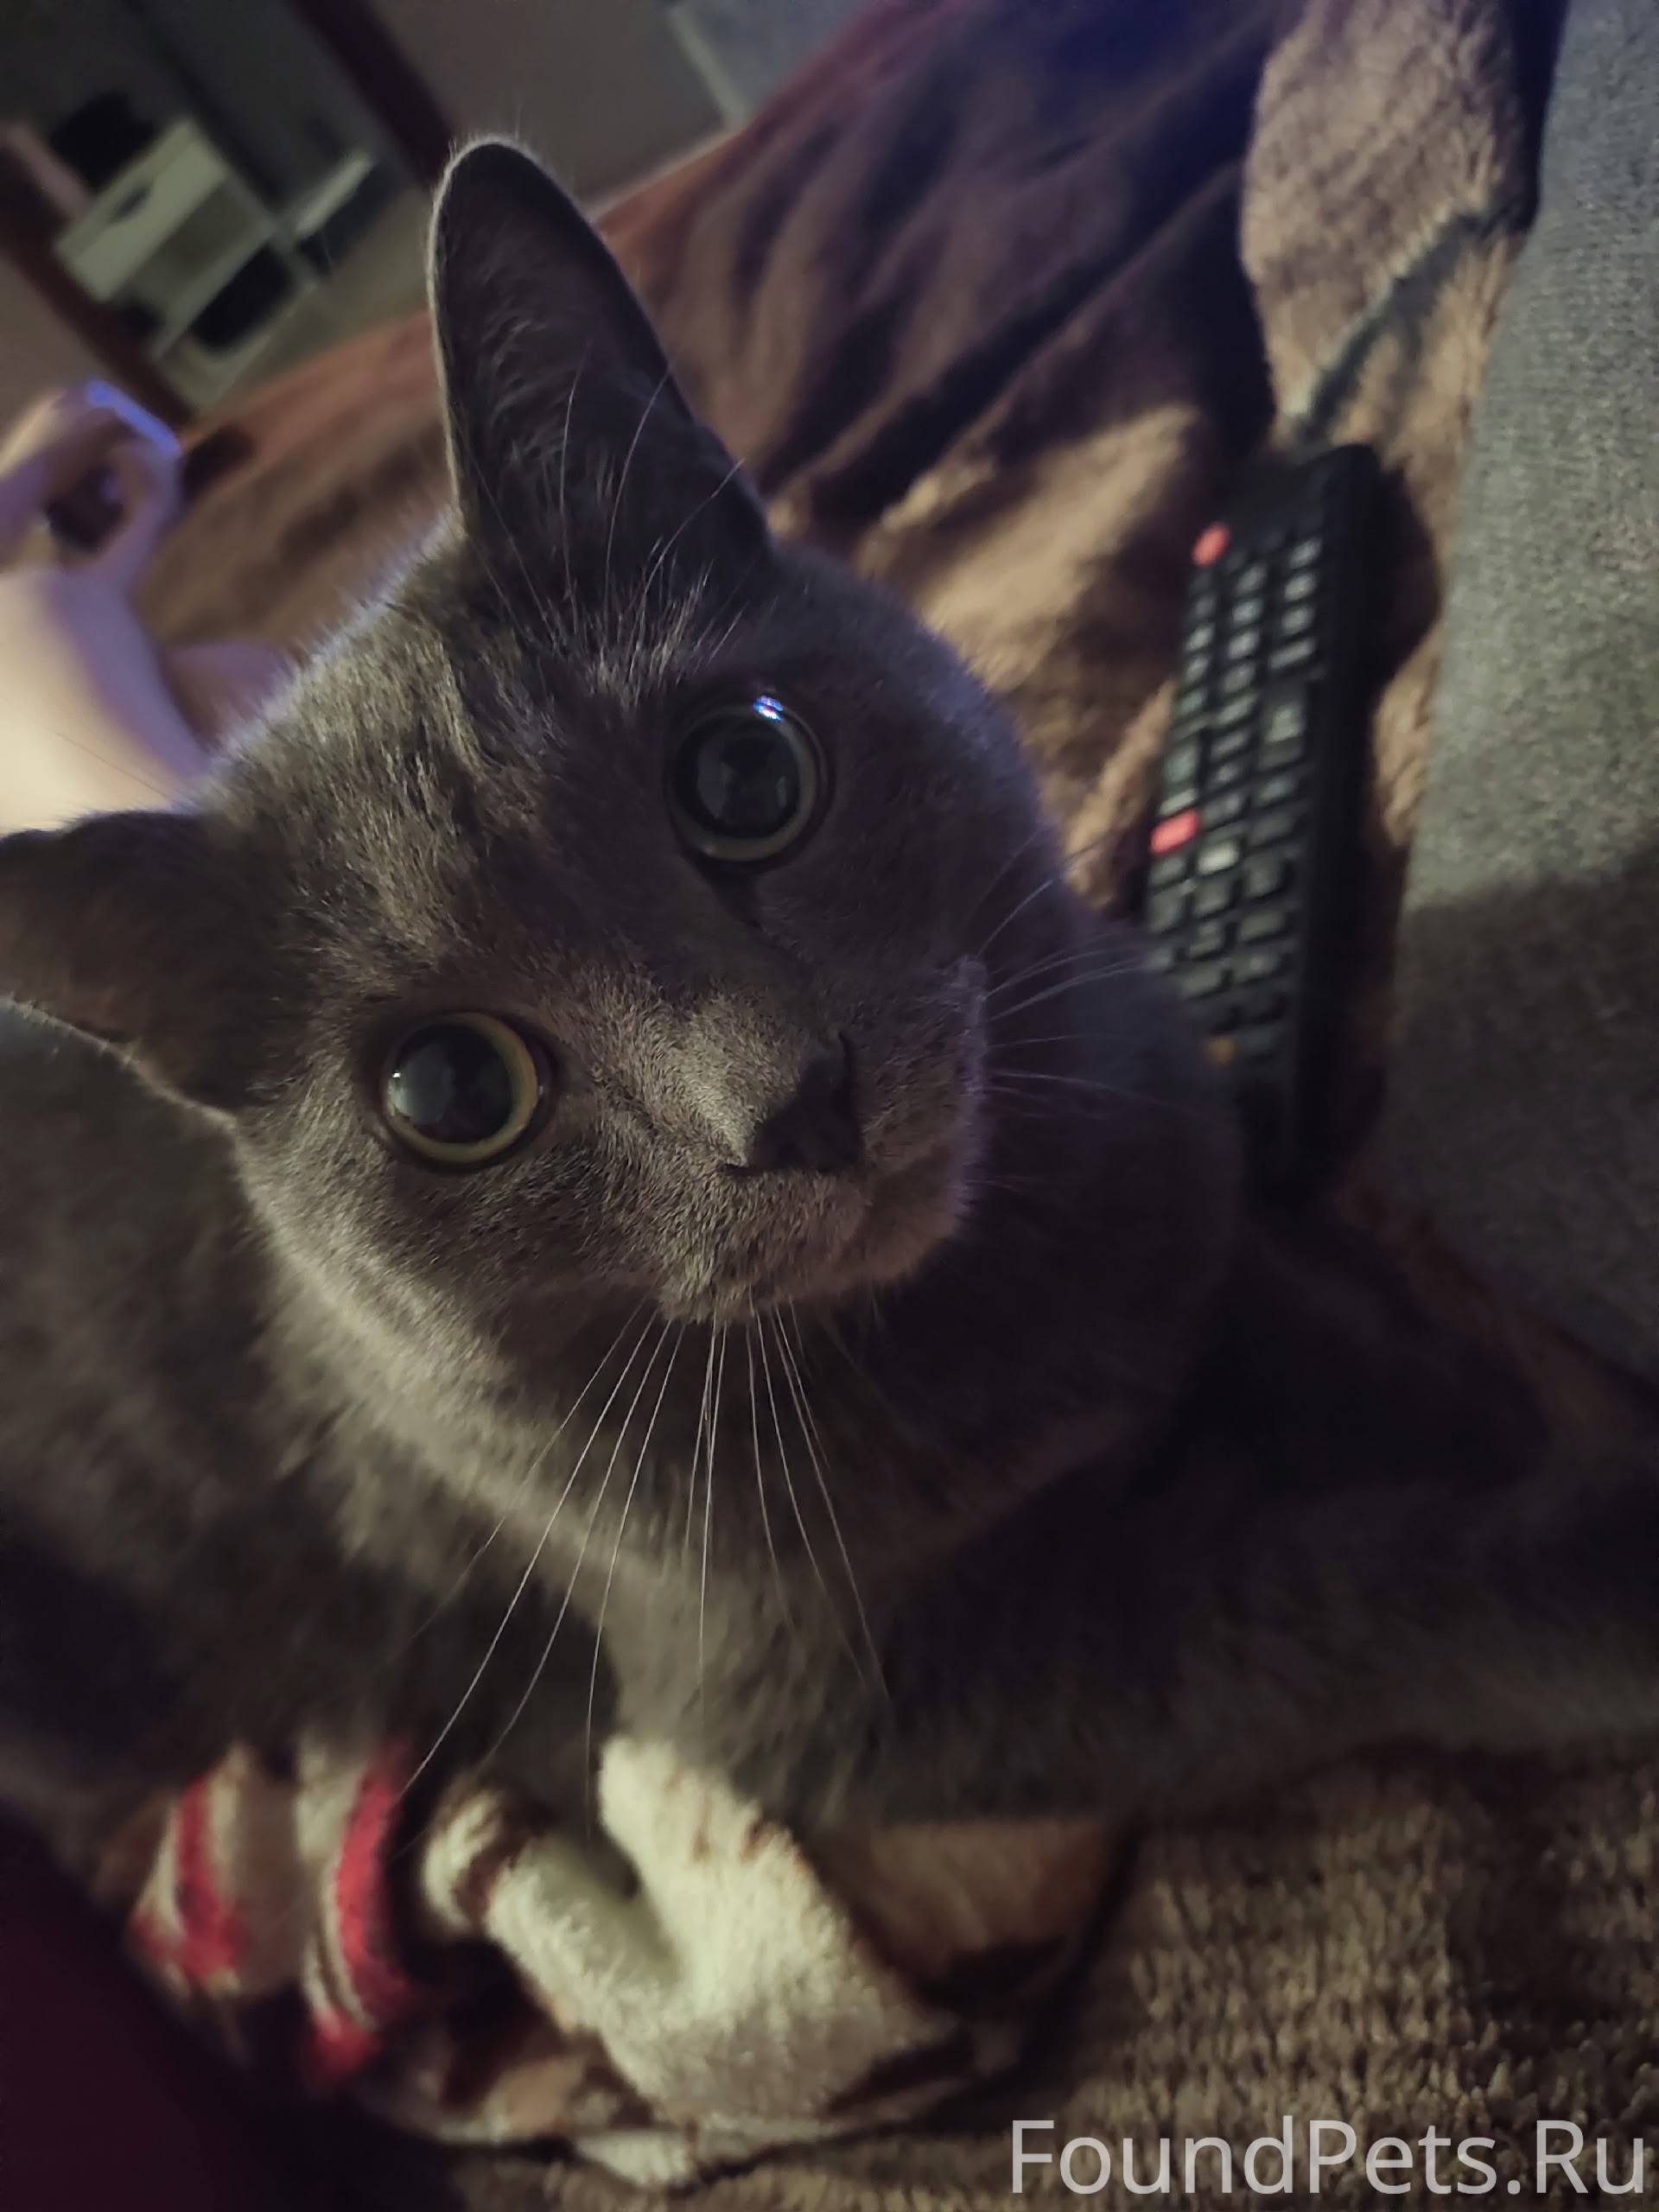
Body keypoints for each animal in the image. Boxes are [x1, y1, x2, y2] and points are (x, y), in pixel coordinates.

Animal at [2, 141, 1658, 1902]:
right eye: (450, 1088)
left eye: (747, 771)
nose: (790, 1102)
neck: (999, 1302)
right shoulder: (855, 1703)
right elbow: (1307, 1606)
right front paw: (1605, 1557)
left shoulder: (1176, 1164)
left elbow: (1297, 1305)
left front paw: (1471, 1391)